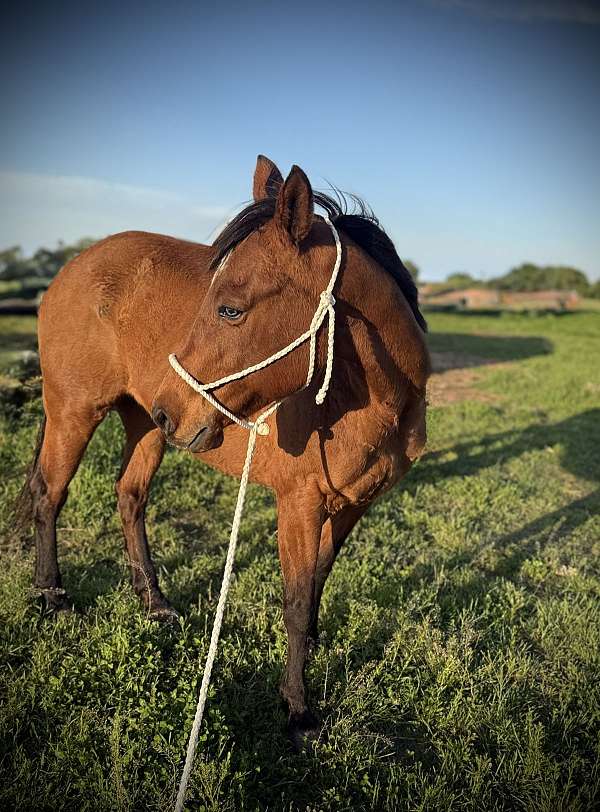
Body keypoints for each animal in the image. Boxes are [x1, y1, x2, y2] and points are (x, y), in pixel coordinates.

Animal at [19, 156, 430, 744]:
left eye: (231, 310)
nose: (175, 409)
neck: (367, 399)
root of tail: (69, 270)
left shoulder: (355, 503)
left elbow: (319, 580)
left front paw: (313, 652)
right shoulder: (299, 503)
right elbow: (296, 599)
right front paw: (298, 708)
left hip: (144, 426)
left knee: (130, 498)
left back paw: (155, 604)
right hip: (76, 413)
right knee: (49, 494)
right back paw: (51, 595)